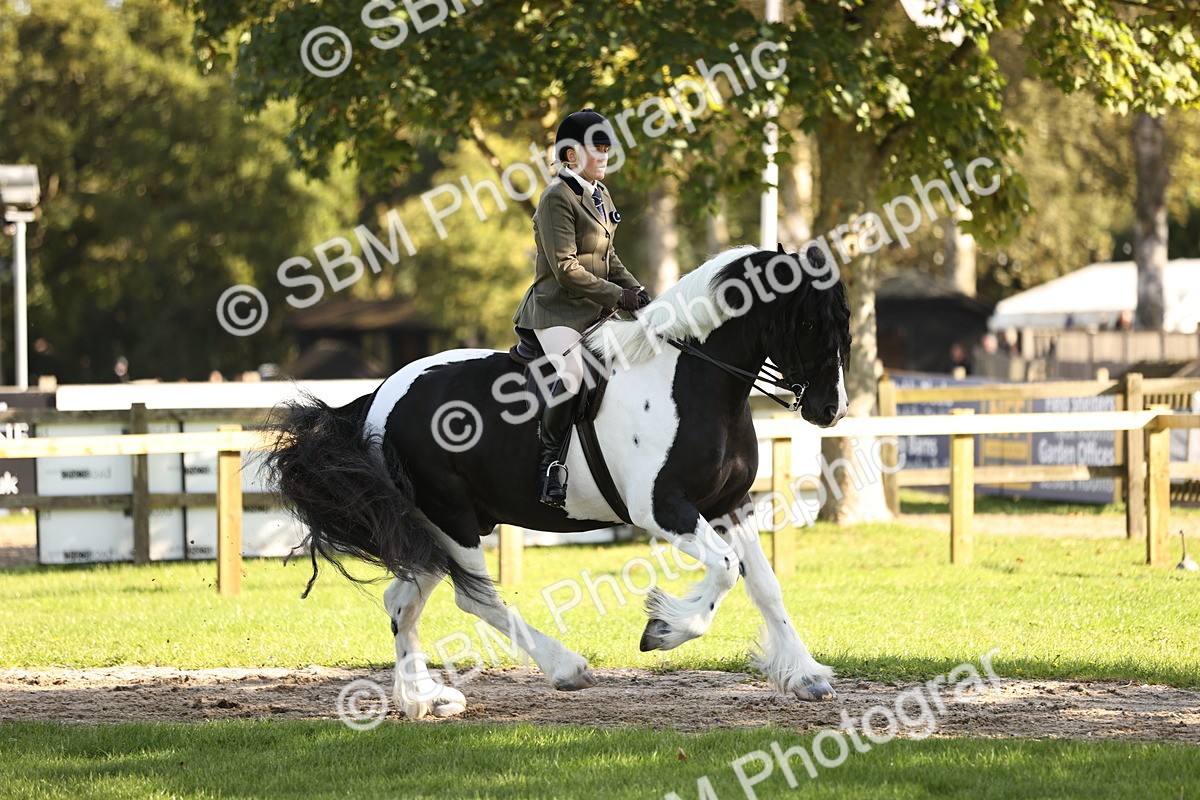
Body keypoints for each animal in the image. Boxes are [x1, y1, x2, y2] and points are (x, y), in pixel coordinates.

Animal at [265, 243, 851, 719]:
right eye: (808, 324)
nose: (831, 410)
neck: (692, 377)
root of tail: (379, 396)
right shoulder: (663, 509)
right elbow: (727, 569)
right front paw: (664, 629)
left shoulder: (731, 503)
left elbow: (764, 584)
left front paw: (806, 674)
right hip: (450, 519)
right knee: (475, 600)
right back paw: (565, 667)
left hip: (431, 528)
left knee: (402, 602)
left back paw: (423, 699)